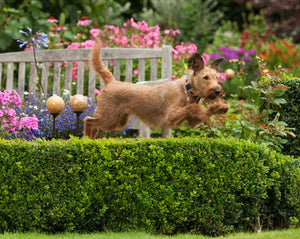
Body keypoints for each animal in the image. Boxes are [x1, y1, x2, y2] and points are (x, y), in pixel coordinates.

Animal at [83, 37, 229, 138]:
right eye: (206, 77)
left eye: (217, 78)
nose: (218, 91)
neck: (187, 90)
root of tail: (112, 82)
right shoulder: (170, 116)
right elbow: (194, 107)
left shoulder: (191, 121)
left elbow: (202, 111)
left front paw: (220, 108)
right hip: (110, 118)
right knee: (88, 120)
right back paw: (86, 140)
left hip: (118, 121)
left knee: (92, 121)